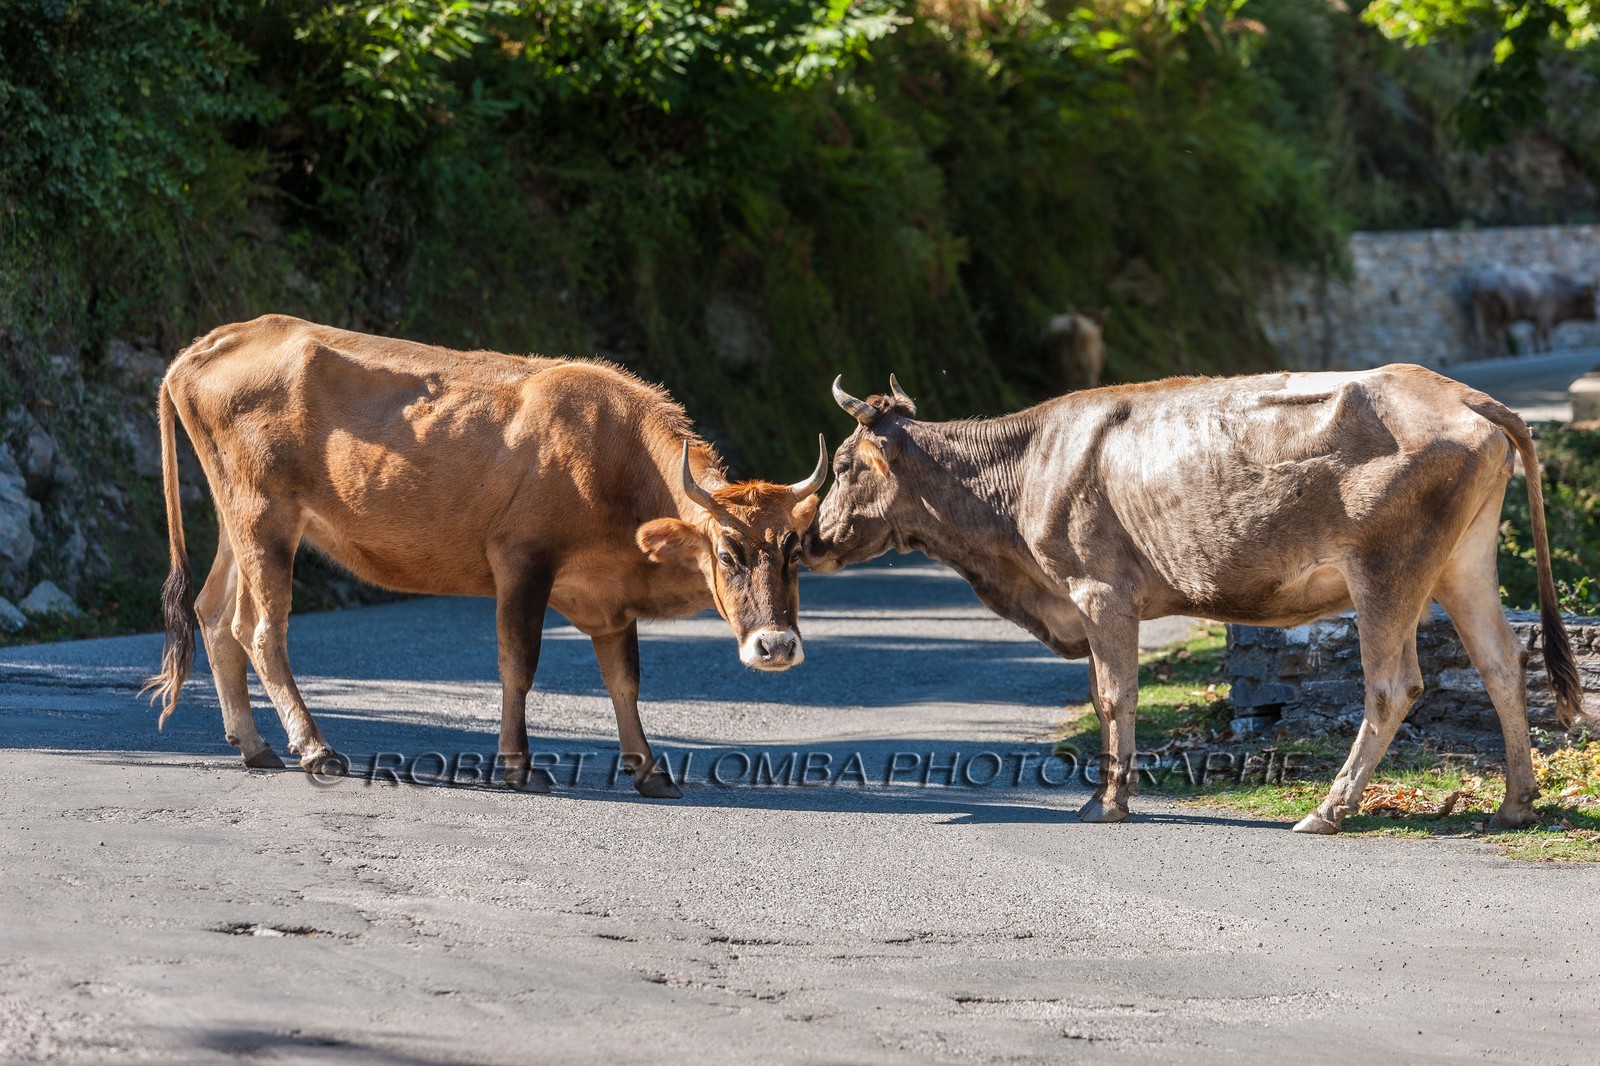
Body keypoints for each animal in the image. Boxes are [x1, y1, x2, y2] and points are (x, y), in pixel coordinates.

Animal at [142, 315, 827, 796]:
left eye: (794, 553)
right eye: (729, 553)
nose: (775, 646)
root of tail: (210, 344)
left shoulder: (606, 597)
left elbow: (625, 679)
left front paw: (650, 772)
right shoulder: (522, 558)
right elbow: (518, 664)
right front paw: (517, 767)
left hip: (237, 516)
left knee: (212, 613)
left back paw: (253, 745)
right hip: (264, 514)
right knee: (261, 628)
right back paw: (314, 748)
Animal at [803, 370, 1589, 833]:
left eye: (840, 465)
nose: (809, 539)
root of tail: (1454, 391)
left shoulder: (1099, 592)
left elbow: (1114, 695)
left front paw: (1110, 803)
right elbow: (1103, 696)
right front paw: (1100, 795)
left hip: (1386, 569)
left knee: (1394, 685)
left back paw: (1329, 809)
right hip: (1464, 562)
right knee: (1501, 665)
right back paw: (1515, 804)